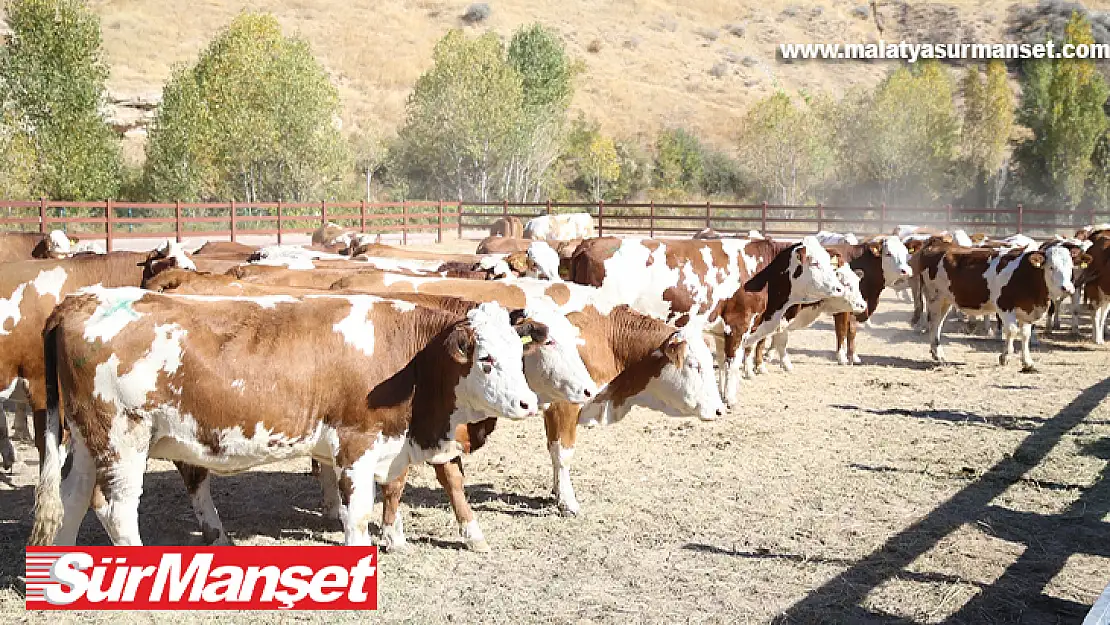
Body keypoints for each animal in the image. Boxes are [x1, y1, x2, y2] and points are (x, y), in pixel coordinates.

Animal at [29, 290, 541, 548]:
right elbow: (357, 513)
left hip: (88, 439)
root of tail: (78, 301)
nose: (528, 404)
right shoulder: (357, 443)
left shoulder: (390, 444)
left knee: (72, 500)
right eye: (487, 360)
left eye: (520, 356)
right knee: (117, 513)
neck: (410, 357)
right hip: (123, 439)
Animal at [572, 236, 839, 406]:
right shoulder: (737, 326)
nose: (838, 287)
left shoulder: (722, 332)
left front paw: (721, 393)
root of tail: (589, 243)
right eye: (815, 263)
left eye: (830, 262)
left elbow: (721, 363)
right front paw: (730, 399)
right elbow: (733, 365)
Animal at [914, 244, 1087, 370]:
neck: (1027, 275)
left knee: (938, 323)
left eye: (1071, 266)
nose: (1067, 288)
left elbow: (1025, 335)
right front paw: (1005, 357)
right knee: (934, 322)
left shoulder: (1027, 310)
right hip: (934, 297)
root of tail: (935, 247)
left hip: (946, 300)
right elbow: (1011, 331)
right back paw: (938, 354)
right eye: (1051, 267)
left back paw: (937, 353)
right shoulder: (1004, 306)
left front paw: (1027, 362)